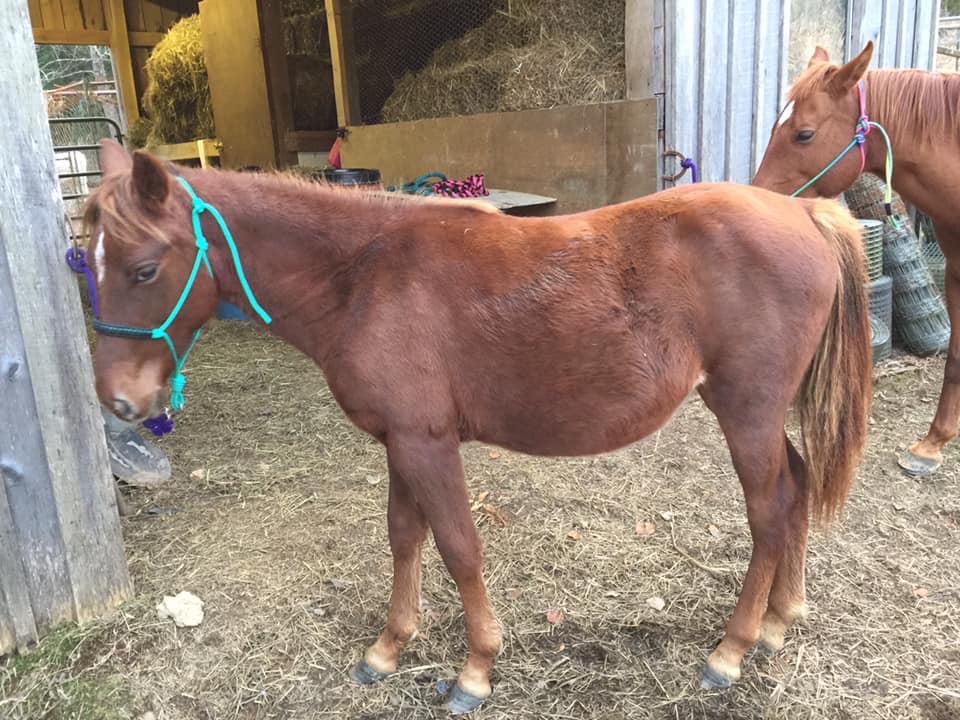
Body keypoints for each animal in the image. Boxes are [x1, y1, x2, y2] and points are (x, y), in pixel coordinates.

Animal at [86, 139, 870, 712]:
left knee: (769, 511)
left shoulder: (428, 444)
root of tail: (802, 213)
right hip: (761, 414)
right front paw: (388, 648)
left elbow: (459, 547)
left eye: (145, 268)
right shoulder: (400, 440)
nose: (119, 403)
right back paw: (780, 620)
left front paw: (474, 671)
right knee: (797, 488)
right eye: (86, 265)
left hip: (747, 411)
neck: (363, 274)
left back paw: (730, 651)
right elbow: (404, 536)